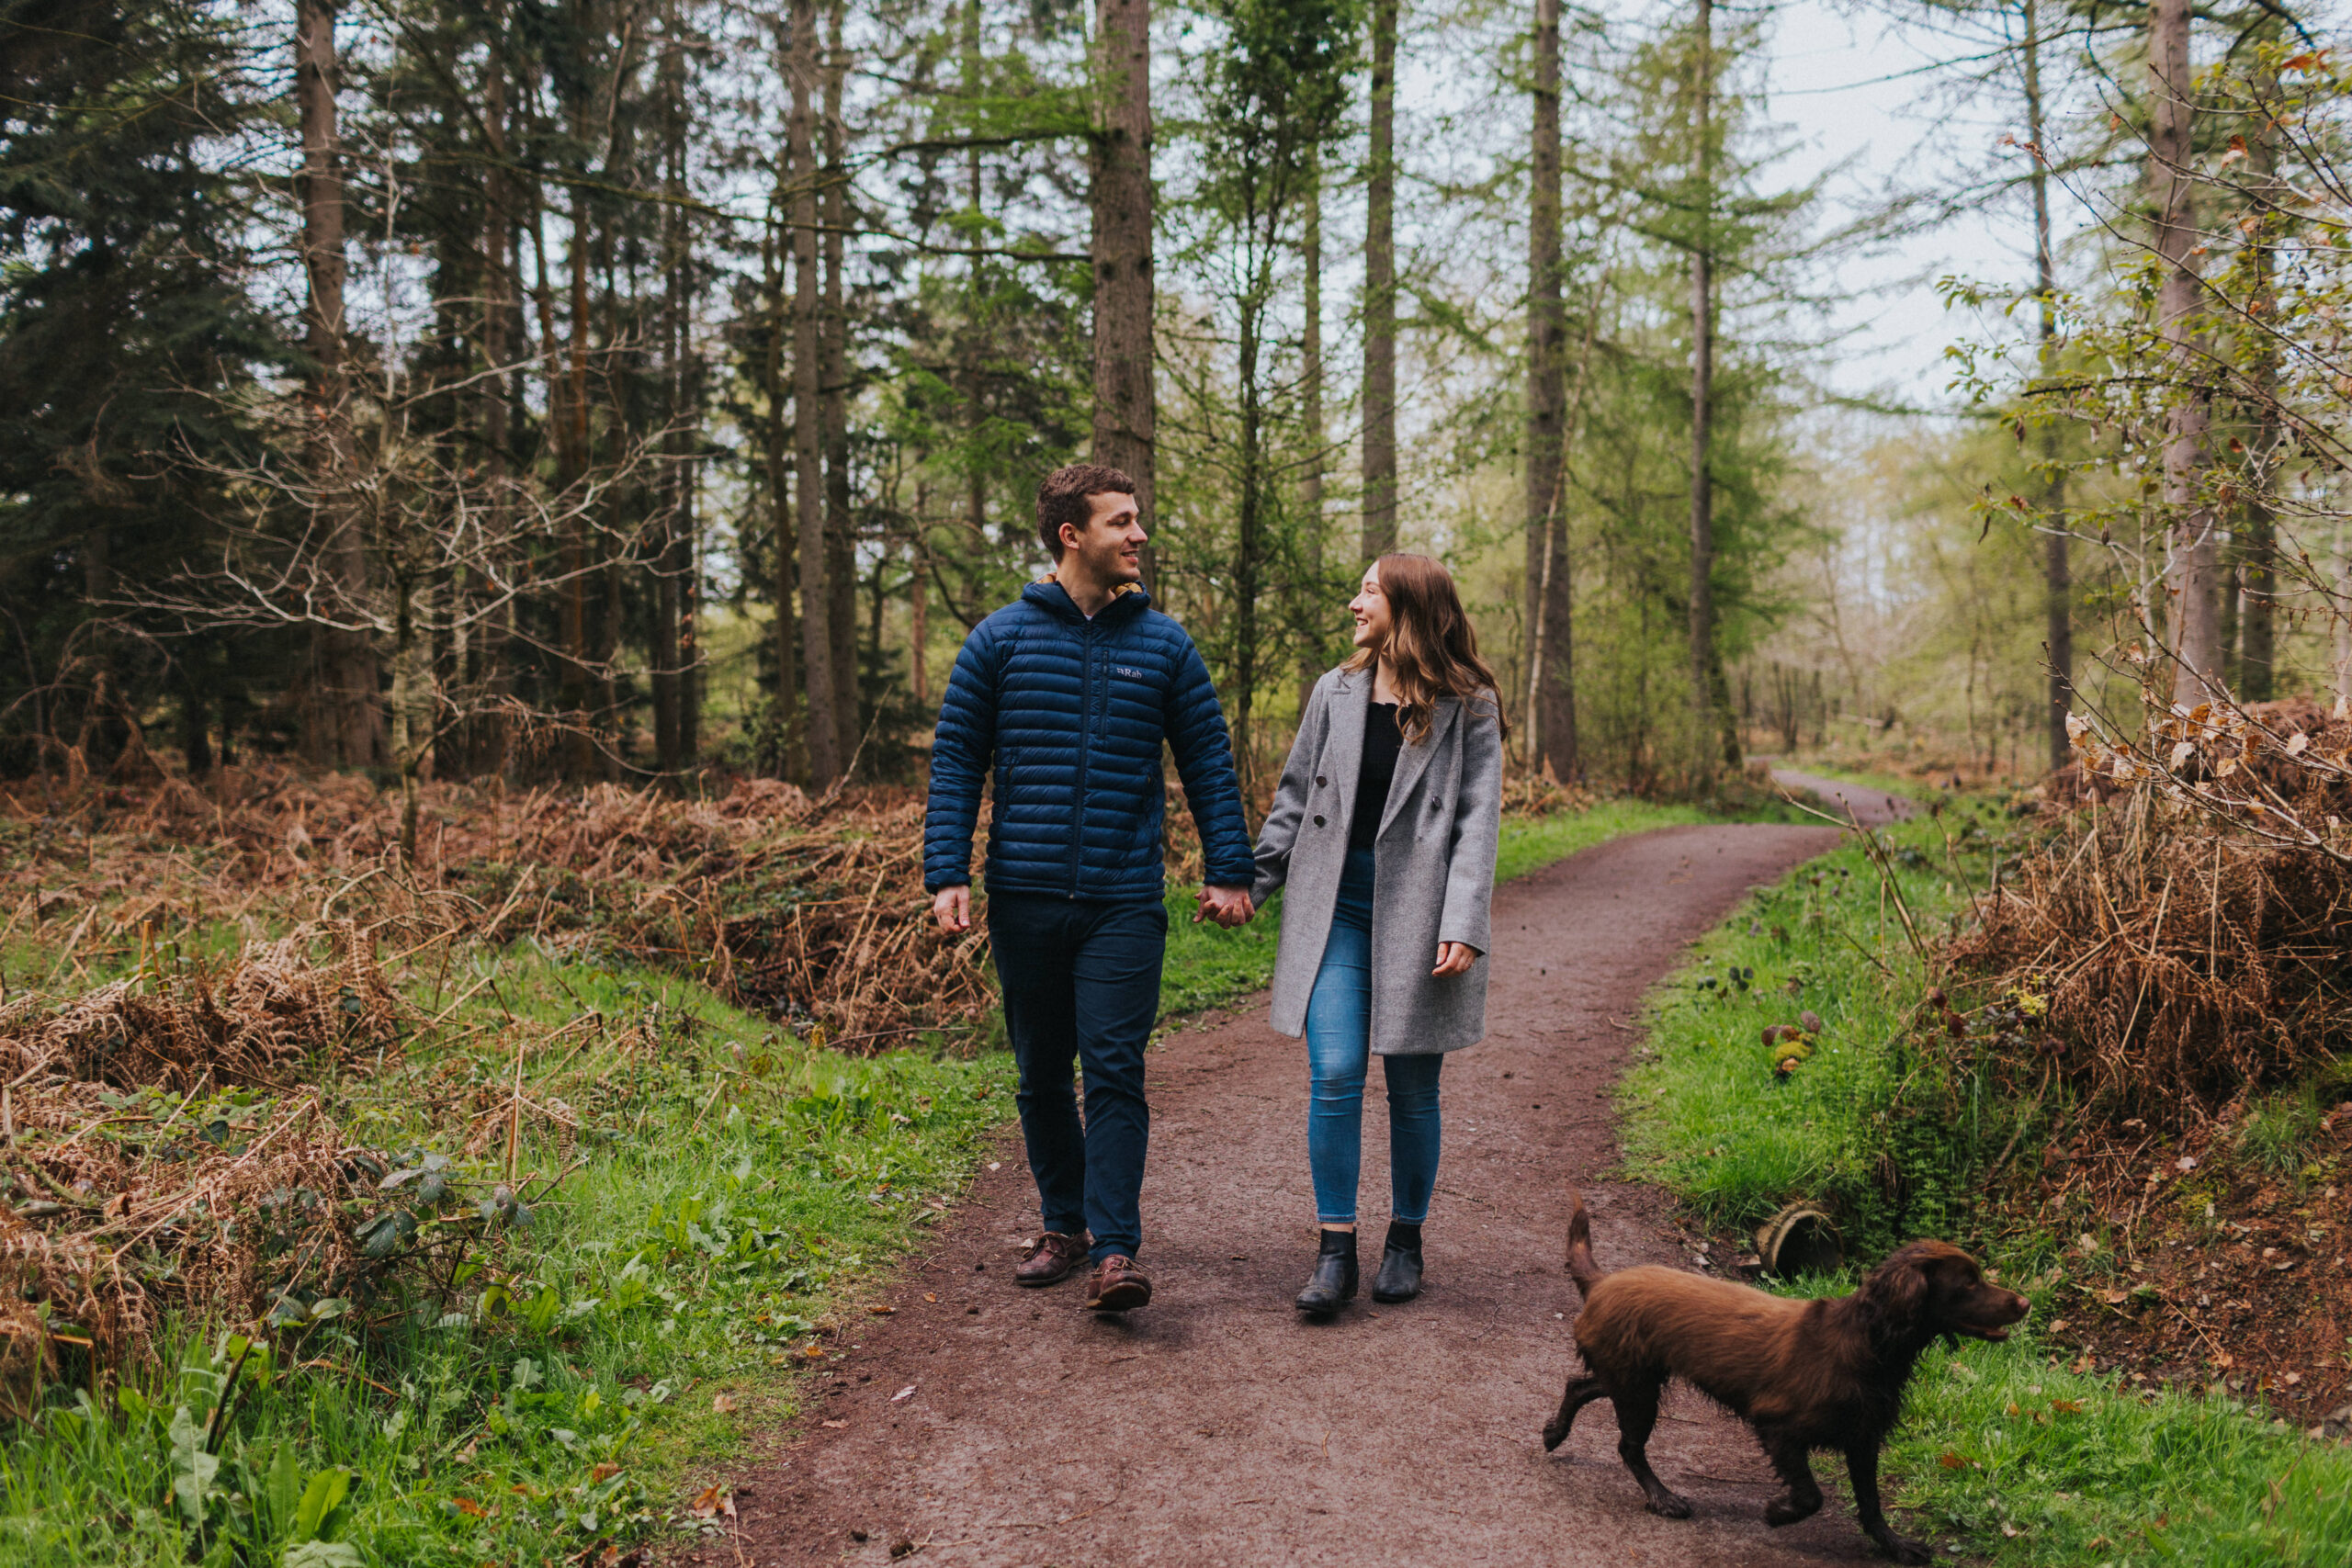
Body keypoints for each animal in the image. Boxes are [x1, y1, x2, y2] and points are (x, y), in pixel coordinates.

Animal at [1543, 1194, 2022, 1561]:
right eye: (1969, 1283)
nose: (2025, 1302)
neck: (1866, 1344)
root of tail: (1602, 1283)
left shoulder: (1863, 1437)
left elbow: (1870, 1504)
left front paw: (1895, 1545)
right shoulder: (1778, 1427)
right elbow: (1812, 1495)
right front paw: (1778, 1512)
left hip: (1635, 1377)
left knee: (1579, 1385)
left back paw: (1554, 1432)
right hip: (1639, 1389)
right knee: (1629, 1446)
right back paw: (1663, 1498)